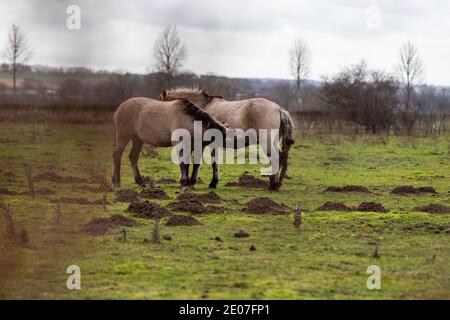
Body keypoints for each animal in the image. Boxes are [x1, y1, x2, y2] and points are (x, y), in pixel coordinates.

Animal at [159, 87, 296, 190]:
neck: (201, 109)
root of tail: (278, 109)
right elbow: (213, 162)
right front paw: (212, 182)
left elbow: (200, 162)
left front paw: (199, 182)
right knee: (282, 157)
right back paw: (277, 183)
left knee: (275, 158)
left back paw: (273, 184)